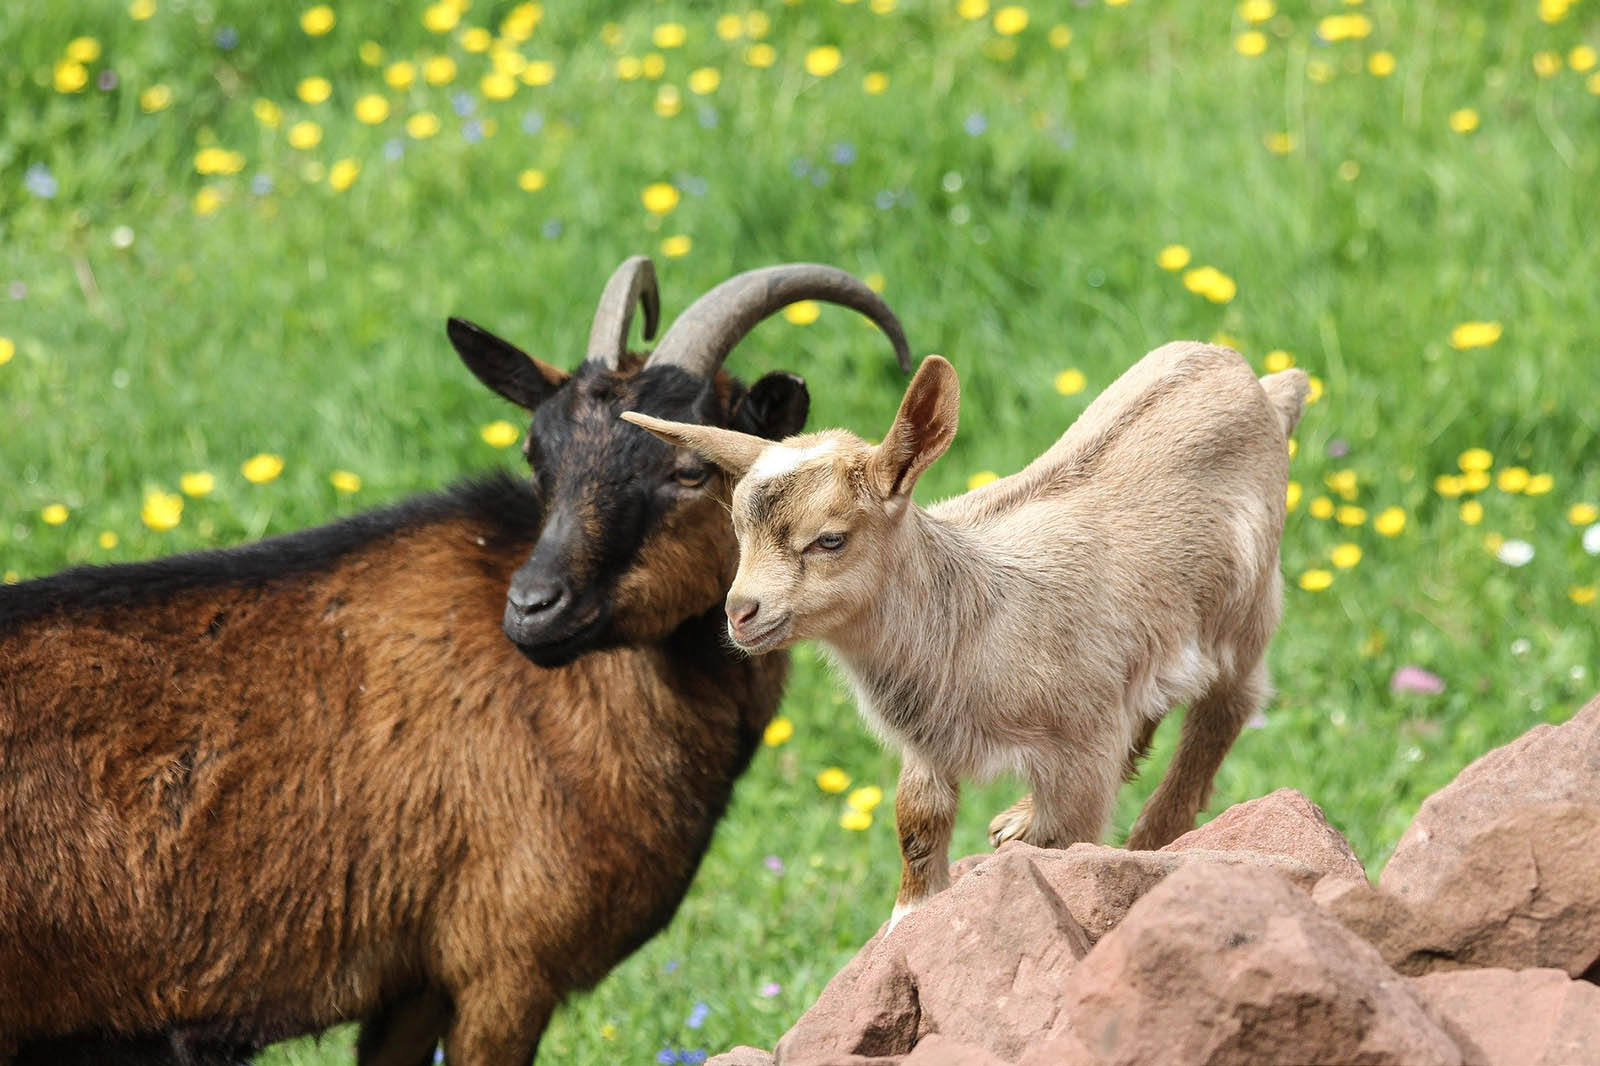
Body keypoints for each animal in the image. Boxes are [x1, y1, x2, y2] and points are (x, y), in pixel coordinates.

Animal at [617, 342, 1305, 921]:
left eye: (829, 539)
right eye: (738, 529)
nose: (741, 612)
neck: (971, 613)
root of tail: (1256, 380)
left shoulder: (1081, 746)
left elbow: (1070, 836)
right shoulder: (928, 744)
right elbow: (917, 820)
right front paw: (910, 917)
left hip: (1247, 612)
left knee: (1225, 711)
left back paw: (1151, 838)